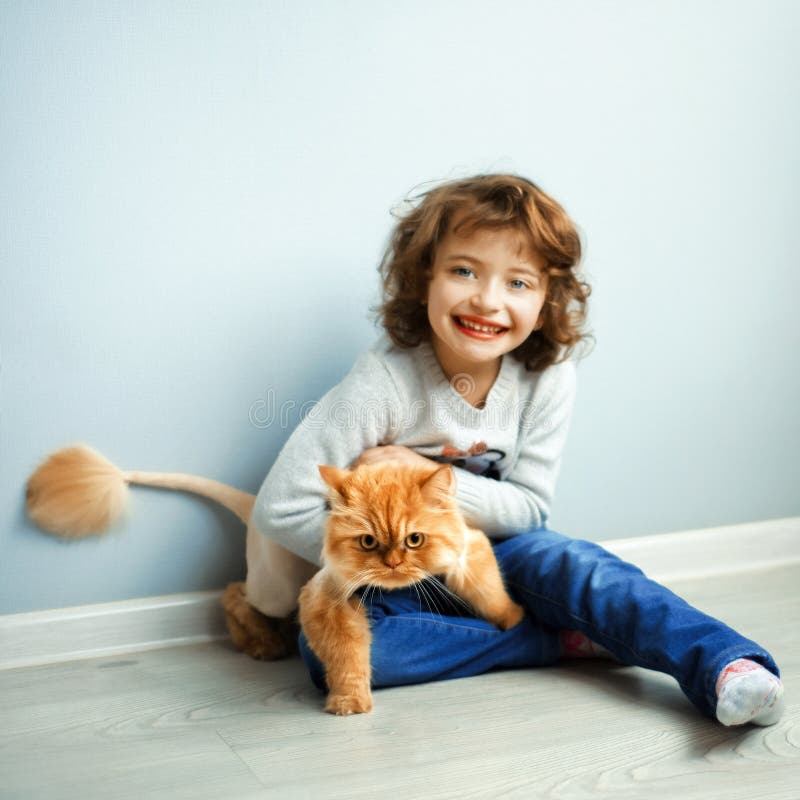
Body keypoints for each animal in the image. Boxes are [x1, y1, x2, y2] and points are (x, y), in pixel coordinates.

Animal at [300, 460, 524, 716]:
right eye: (368, 542)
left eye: (414, 539)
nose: (393, 563)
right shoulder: (327, 596)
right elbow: (346, 657)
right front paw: (350, 702)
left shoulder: (470, 548)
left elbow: (490, 596)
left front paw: (514, 618)